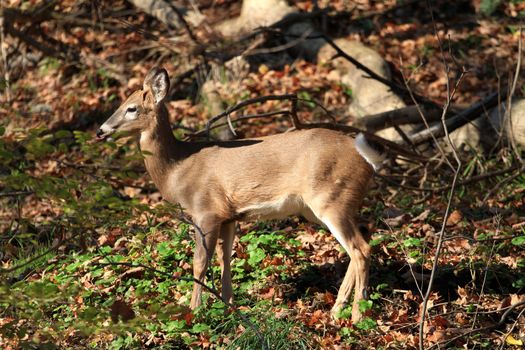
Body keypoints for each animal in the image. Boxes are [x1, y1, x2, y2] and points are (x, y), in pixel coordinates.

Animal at [97, 65, 384, 322]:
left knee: (361, 250)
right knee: (363, 239)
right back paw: (336, 312)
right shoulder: (229, 216)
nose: (101, 130)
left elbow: (200, 262)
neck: (177, 169)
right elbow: (225, 259)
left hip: (331, 200)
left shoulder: (206, 211)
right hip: (330, 205)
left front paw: (194, 312)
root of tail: (366, 160)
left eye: (131, 108)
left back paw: (357, 316)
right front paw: (229, 307)